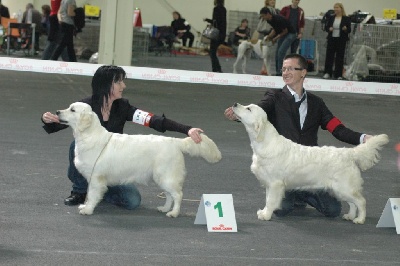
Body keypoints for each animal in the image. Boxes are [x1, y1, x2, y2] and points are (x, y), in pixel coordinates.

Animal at [56, 103, 222, 217]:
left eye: (72, 110)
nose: (57, 111)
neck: (90, 136)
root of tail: (174, 141)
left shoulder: (96, 178)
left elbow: (91, 195)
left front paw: (88, 209)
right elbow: (89, 194)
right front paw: (84, 206)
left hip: (166, 176)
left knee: (178, 195)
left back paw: (173, 213)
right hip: (161, 177)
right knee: (169, 195)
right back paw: (164, 208)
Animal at [233, 103, 390, 223]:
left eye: (248, 109)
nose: (235, 104)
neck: (265, 142)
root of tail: (348, 153)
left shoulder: (275, 184)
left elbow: (271, 200)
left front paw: (266, 215)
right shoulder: (268, 183)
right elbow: (267, 199)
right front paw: (264, 212)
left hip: (344, 187)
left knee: (361, 201)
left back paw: (359, 219)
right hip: (340, 189)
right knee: (353, 203)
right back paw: (350, 216)